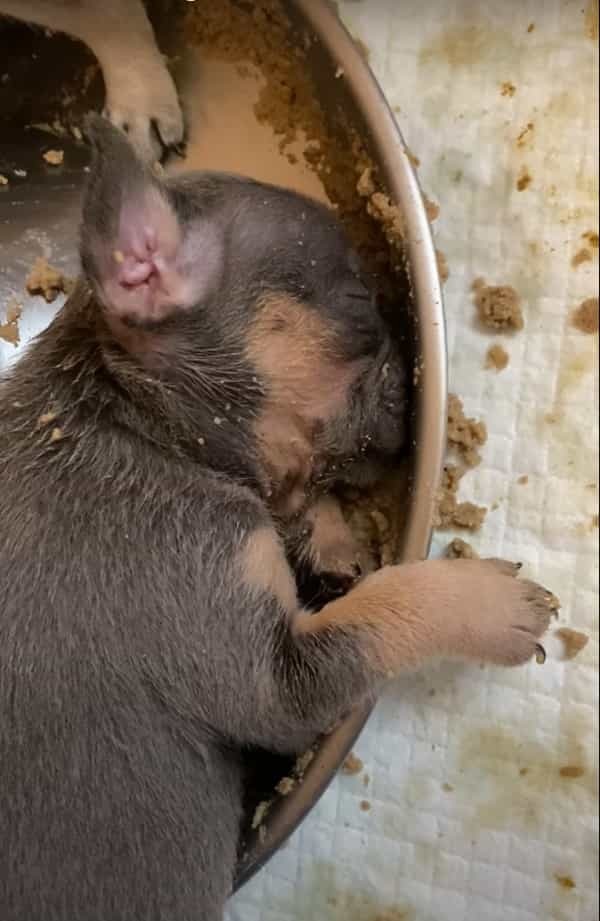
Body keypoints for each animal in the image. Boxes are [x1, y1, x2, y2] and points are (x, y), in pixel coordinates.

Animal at [0, 117, 556, 920]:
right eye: (357, 302)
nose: (413, 382)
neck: (138, 426)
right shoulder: (271, 674)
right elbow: (381, 611)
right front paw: (484, 601)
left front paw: (332, 534)